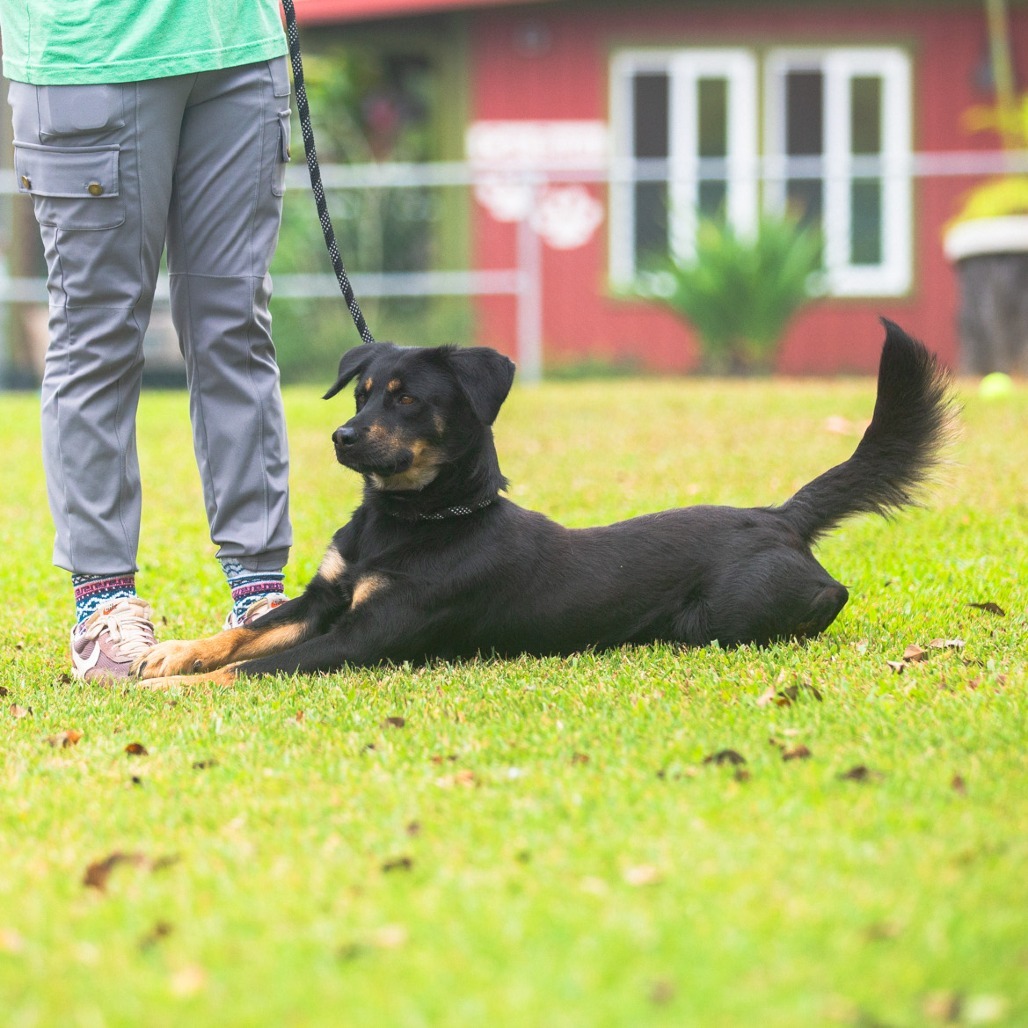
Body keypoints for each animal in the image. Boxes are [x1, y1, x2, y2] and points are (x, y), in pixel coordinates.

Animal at [136, 314, 953, 682]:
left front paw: (179, 691)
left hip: (738, 614)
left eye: (406, 399)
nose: (341, 436)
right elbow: (245, 637)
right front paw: (175, 654)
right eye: (363, 392)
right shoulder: (322, 603)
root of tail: (777, 517)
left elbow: (249, 669)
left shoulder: (364, 638)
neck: (413, 520)